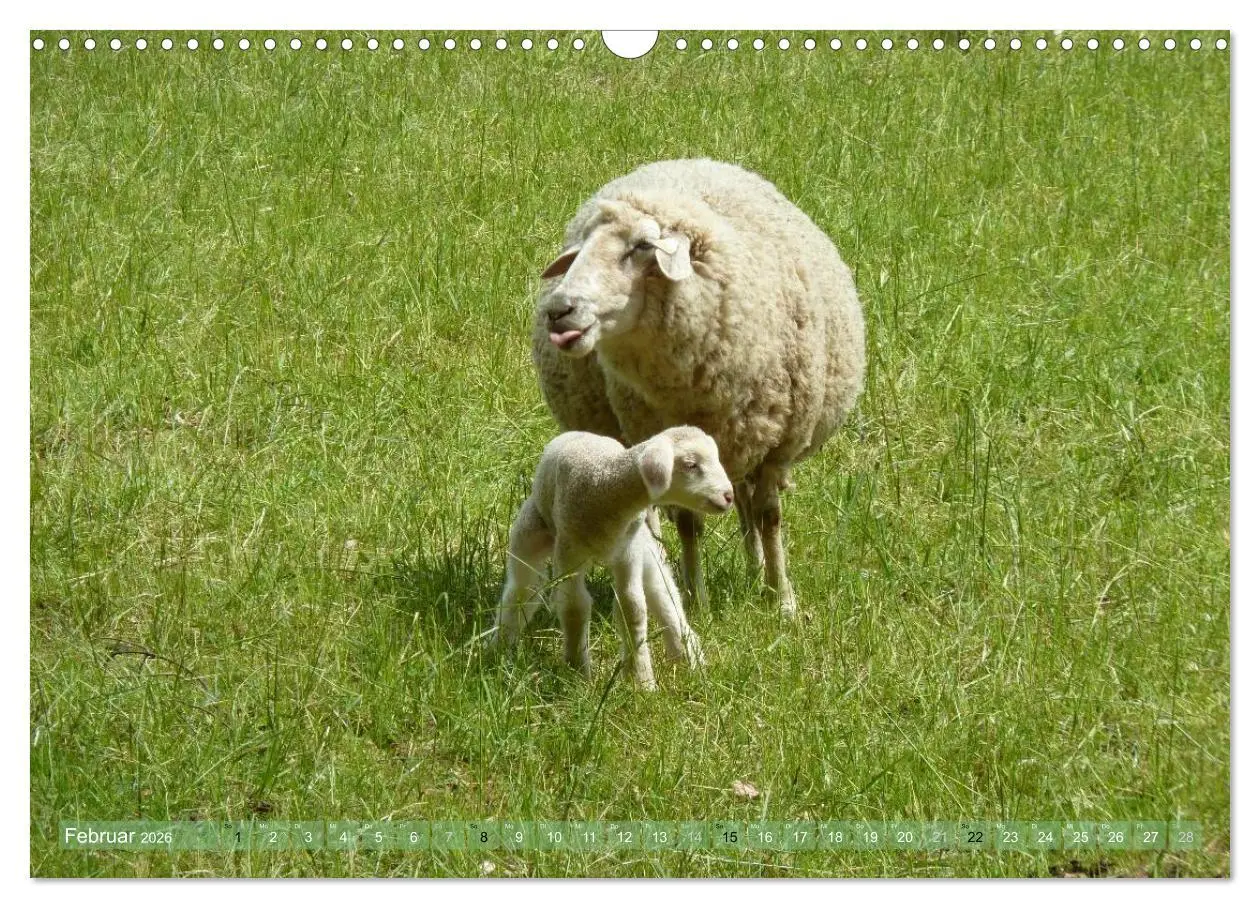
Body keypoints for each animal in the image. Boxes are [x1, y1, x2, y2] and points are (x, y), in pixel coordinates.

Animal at [488, 426, 734, 690]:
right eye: (690, 465)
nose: (729, 496)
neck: (605, 484)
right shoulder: (569, 549)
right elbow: (574, 607)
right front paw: (577, 674)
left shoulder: (628, 550)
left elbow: (632, 607)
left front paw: (641, 680)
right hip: (532, 530)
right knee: (522, 590)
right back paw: (497, 648)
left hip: (646, 547)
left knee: (662, 591)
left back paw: (687, 656)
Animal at [531, 159, 866, 618]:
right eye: (580, 248)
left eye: (641, 246)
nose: (558, 310)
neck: (688, 389)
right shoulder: (669, 442)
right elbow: (689, 523)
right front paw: (696, 598)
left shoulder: (777, 447)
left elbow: (769, 516)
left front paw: (781, 598)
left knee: (745, 504)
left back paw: (755, 568)